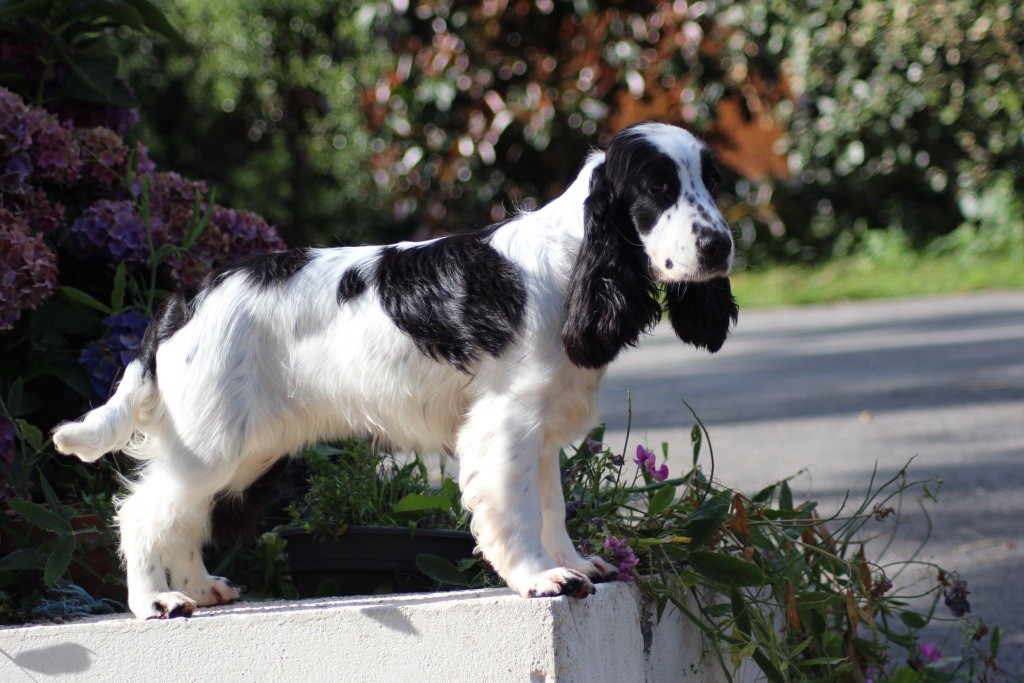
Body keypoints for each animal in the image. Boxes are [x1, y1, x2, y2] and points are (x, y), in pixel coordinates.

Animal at [54, 121, 737, 618]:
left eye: (710, 182)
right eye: (657, 188)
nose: (721, 246)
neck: (572, 263)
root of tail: (182, 303)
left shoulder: (540, 429)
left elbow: (551, 508)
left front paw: (573, 562)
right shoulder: (506, 423)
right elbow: (516, 511)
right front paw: (540, 578)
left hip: (243, 446)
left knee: (186, 514)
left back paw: (200, 589)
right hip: (213, 439)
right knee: (145, 512)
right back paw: (155, 601)